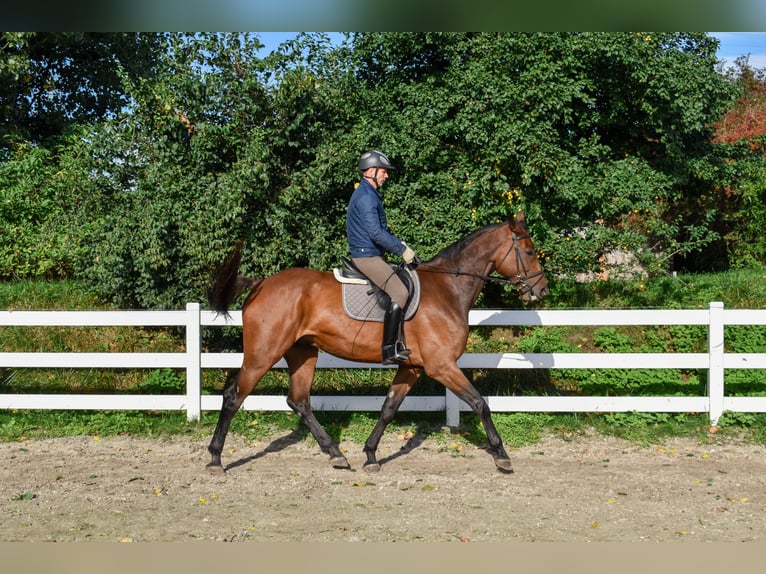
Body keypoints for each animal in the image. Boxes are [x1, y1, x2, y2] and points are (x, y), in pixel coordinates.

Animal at [206, 211, 548, 474]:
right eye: (530, 252)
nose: (541, 290)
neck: (448, 289)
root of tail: (261, 284)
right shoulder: (442, 366)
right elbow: (480, 404)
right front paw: (501, 455)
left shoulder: (412, 367)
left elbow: (388, 408)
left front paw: (370, 455)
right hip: (263, 353)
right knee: (234, 396)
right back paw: (215, 458)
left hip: (302, 353)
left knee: (299, 401)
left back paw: (336, 455)